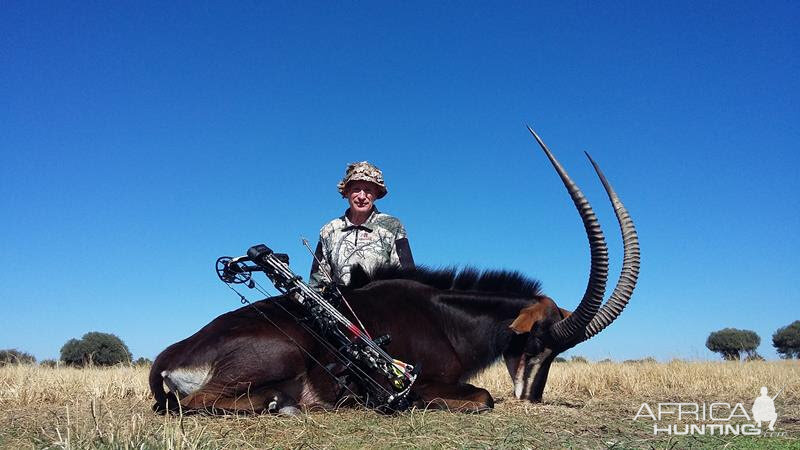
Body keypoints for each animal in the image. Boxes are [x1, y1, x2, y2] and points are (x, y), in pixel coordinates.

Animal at [148, 127, 636, 414]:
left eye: (556, 353)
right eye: (536, 342)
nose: (531, 398)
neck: (447, 317)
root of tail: (168, 356)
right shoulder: (426, 383)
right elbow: (483, 397)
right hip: (282, 351)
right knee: (198, 403)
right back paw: (280, 404)